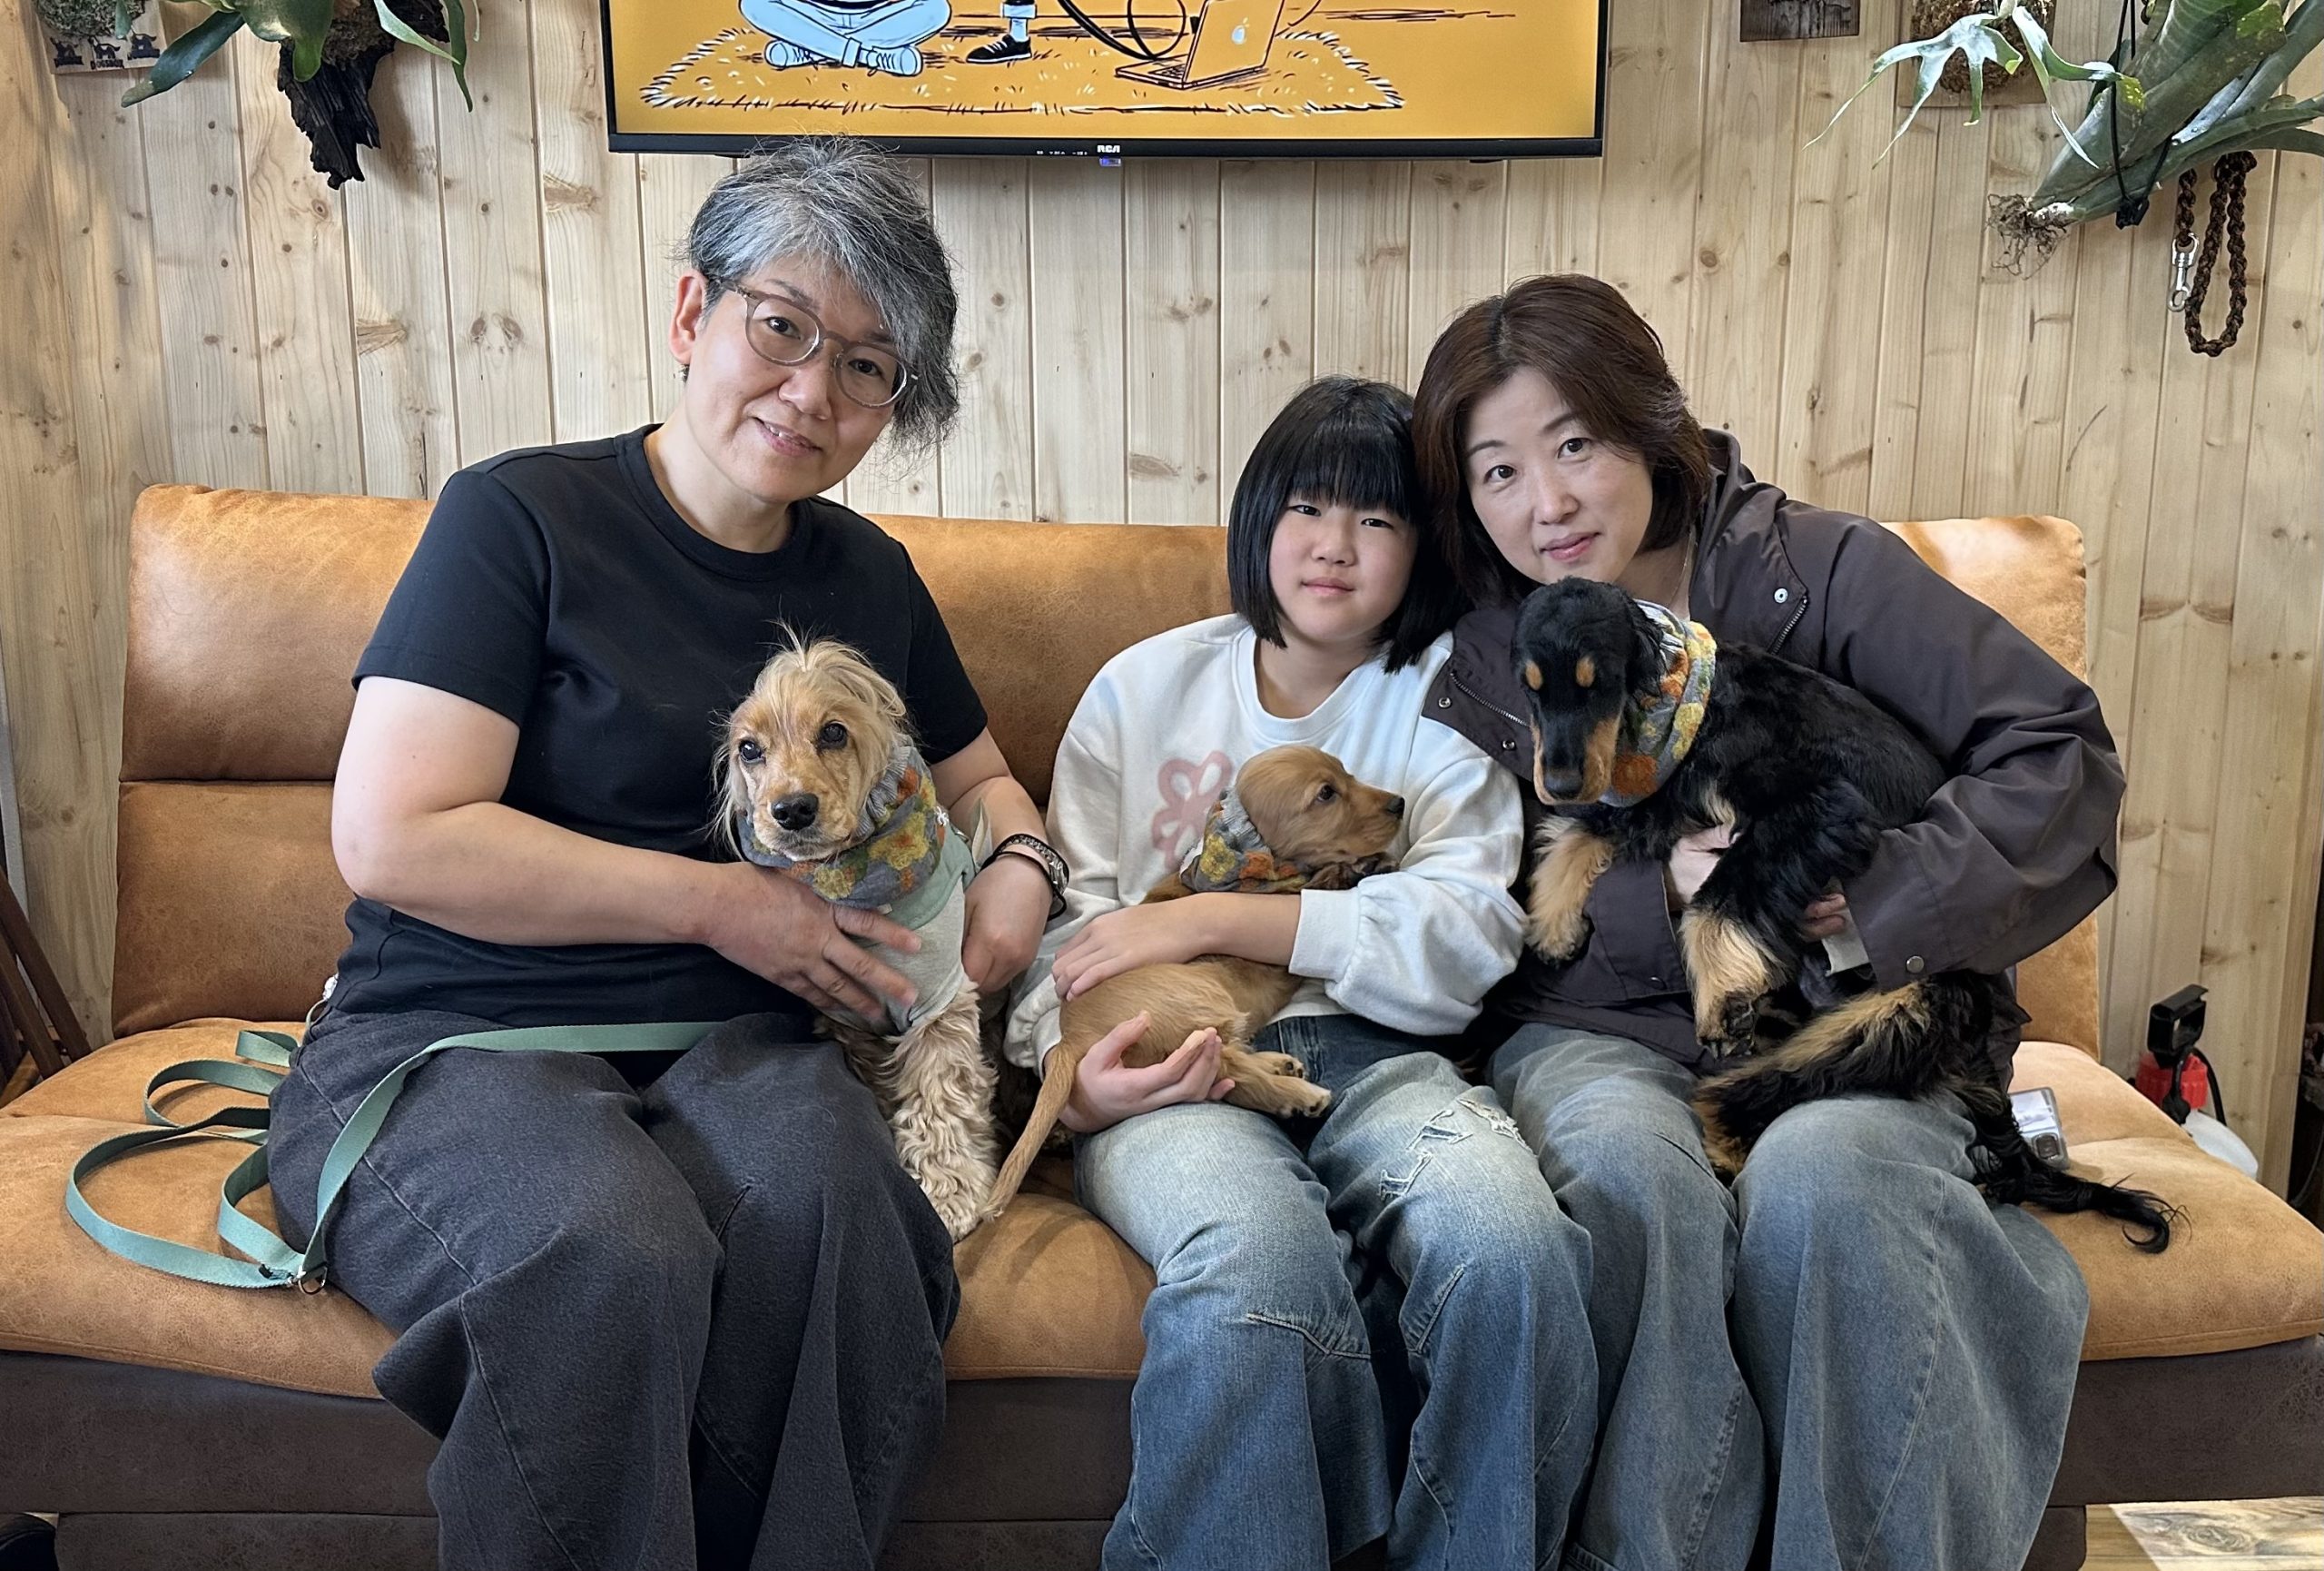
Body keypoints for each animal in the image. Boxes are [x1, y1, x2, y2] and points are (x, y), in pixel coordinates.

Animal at [721, 637, 998, 1241]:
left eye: (833, 732)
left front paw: (949, 1196)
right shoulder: (850, 1024)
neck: (863, 879)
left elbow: (941, 1099)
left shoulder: (940, 1008)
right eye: (749, 748)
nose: (792, 809)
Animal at [983, 745, 1404, 1216]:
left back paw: (1279, 1066)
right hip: (1199, 991)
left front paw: (1374, 862)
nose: (1400, 804)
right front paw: (1355, 868)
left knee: (1228, 1060)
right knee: (1227, 1064)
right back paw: (1297, 1093)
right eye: (1326, 794)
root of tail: (1073, 1038)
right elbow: (1319, 883)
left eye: (1347, 773)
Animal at [1510, 577, 2172, 1250]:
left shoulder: (1818, 805)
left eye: (1599, 684)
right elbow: (1583, 831)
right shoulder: (1665, 801)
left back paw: (1728, 1127)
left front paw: (1720, 994)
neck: (1692, 707)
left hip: (1894, 1014)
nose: (1556, 782)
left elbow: (1715, 891)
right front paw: (1553, 927)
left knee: (1748, 1087)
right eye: (1531, 688)